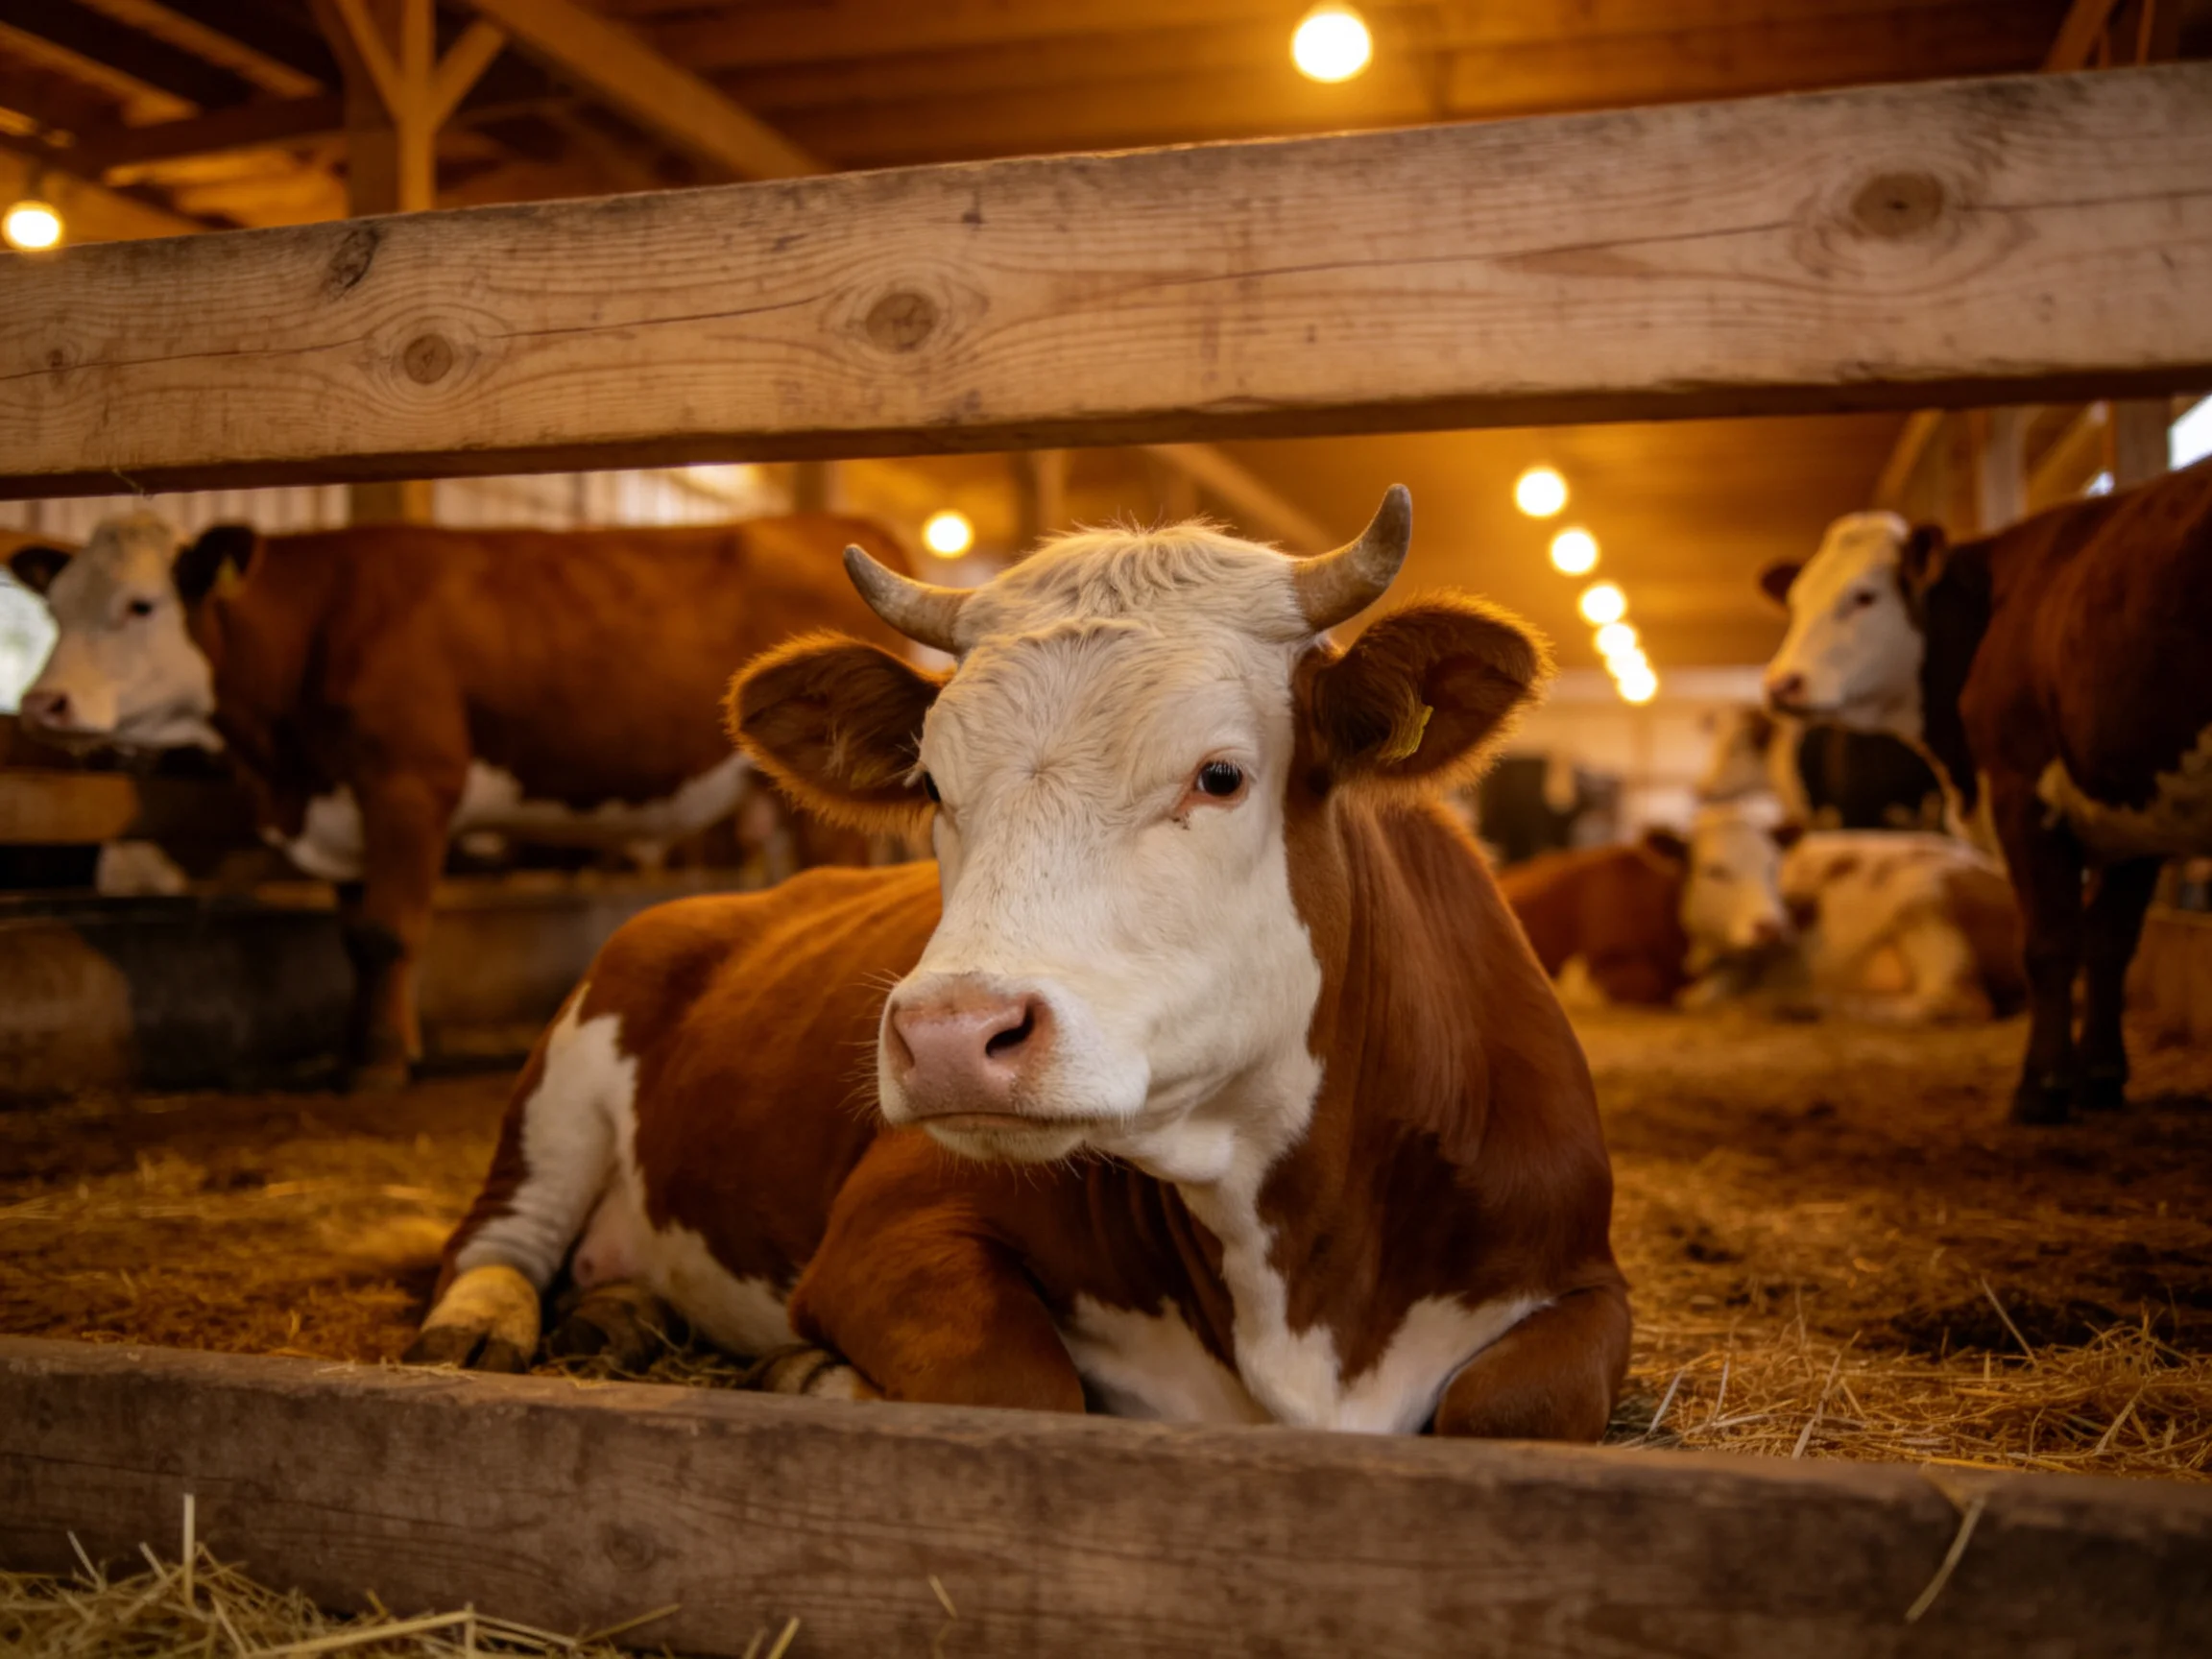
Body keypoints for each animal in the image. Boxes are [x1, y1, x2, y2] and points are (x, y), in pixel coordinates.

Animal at [8, 511, 913, 1086]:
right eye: (53, 606)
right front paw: (372, 1045)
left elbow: (386, 931)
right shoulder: (349, 809)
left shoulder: (408, 783)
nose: (43, 704)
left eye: (140, 605)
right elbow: (358, 935)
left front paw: (376, 1065)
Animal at [407, 490, 1631, 1441]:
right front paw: (809, 1374)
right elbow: (1024, 1387)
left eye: (1220, 776)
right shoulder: (892, 1224)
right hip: (570, 1069)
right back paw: (479, 1327)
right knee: (498, 1237)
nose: (952, 1035)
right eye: (934, 786)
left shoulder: (1584, 1281)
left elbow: (1517, 1409)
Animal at [1760, 458, 2212, 1121]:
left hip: (1925, 899)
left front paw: (2041, 1087)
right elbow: (2110, 943)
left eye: (1865, 596)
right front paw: (2101, 1077)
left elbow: (2051, 942)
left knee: (1954, 998)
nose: (1781, 684)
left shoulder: (2023, 792)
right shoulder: (2133, 809)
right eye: (1794, 605)